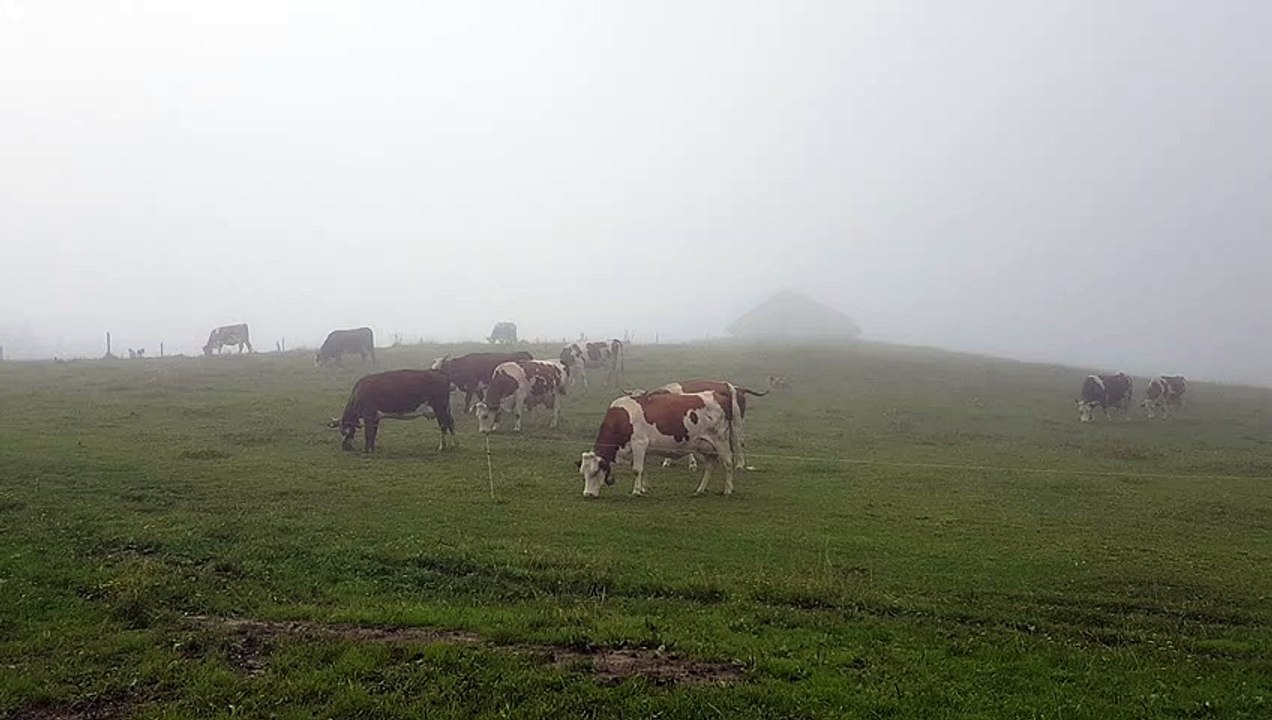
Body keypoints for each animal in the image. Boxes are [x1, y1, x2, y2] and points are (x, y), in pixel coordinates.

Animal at [577, 390, 736, 497]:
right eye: (583, 474)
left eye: (595, 472)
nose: (587, 494)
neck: (623, 418)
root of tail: (718, 395)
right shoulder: (641, 449)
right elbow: (644, 469)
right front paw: (643, 488)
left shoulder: (639, 443)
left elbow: (637, 470)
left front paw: (636, 491)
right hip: (705, 446)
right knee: (710, 466)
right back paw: (700, 489)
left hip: (721, 441)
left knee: (728, 463)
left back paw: (727, 490)